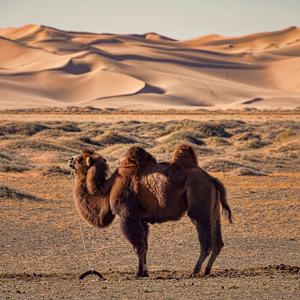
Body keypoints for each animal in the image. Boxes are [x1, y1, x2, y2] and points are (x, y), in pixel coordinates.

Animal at [68, 144, 232, 278]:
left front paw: (138, 273)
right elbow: (145, 246)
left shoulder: (127, 216)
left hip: (199, 207)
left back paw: (194, 270)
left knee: (206, 242)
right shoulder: (141, 219)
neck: (107, 189)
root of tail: (211, 179)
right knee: (218, 242)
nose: (70, 159)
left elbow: (138, 246)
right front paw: (144, 272)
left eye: (80, 159)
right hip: (214, 212)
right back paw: (207, 270)